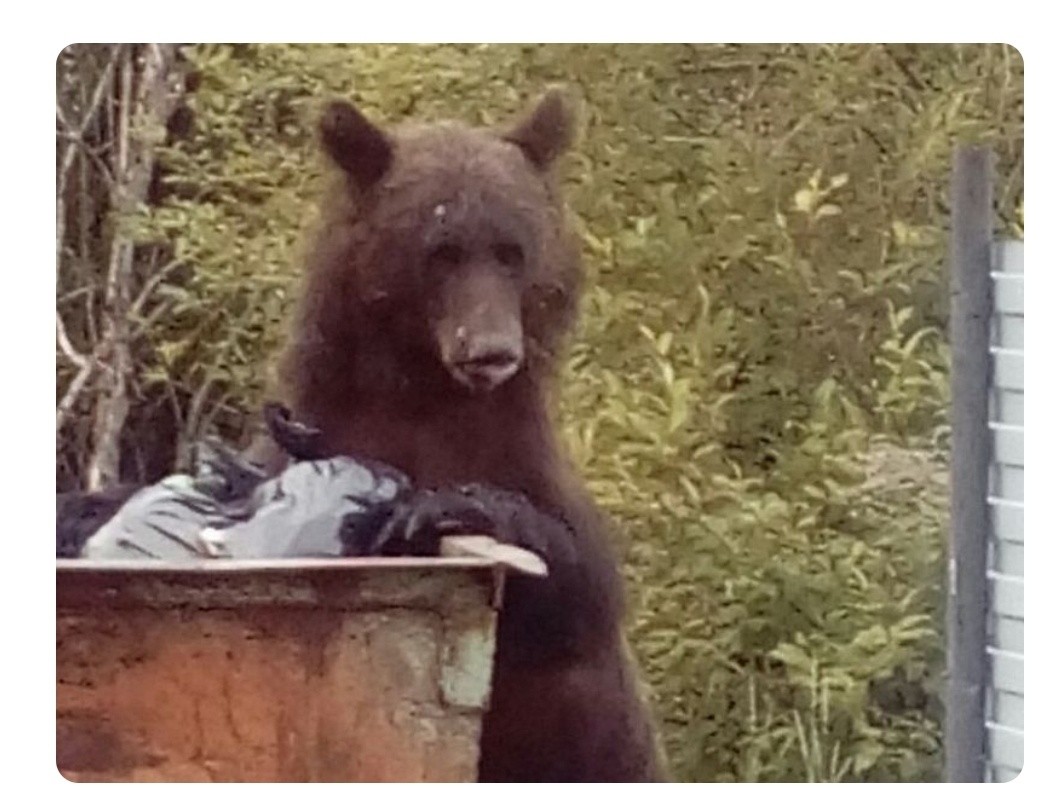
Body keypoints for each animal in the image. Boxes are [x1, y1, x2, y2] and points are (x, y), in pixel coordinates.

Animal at [268, 89, 666, 782]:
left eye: (512, 249)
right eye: (440, 250)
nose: (490, 351)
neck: (429, 393)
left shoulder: (517, 450)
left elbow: (580, 588)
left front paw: (448, 506)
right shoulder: (330, 423)